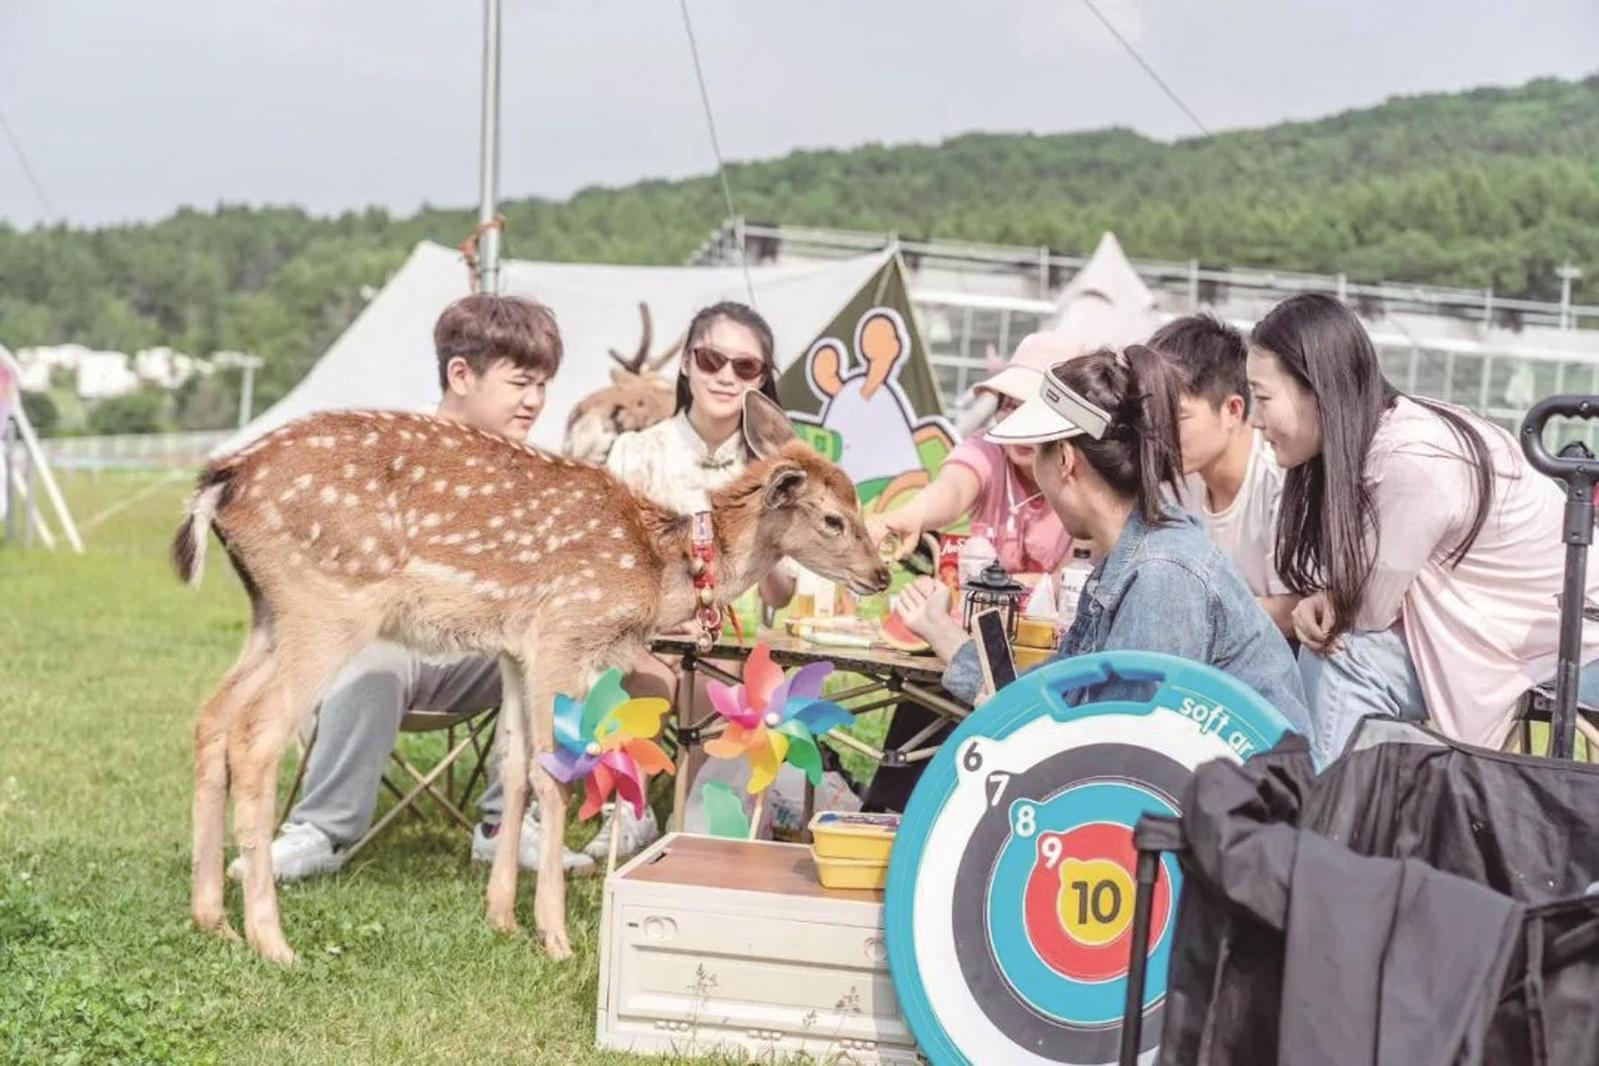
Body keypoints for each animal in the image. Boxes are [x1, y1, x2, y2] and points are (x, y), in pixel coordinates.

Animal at [174, 391, 891, 965]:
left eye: (857, 501)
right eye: (834, 518)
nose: (882, 573)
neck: (660, 568)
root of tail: (222, 483)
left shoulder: (514, 650)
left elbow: (516, 768)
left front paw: (502, 920)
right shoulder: (562, 631)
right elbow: (554, 776)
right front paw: (555, 937)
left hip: (270, 612)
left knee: (211, 717)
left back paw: (213, 921)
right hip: (328, 603)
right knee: (258, 734)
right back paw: (272, 940)